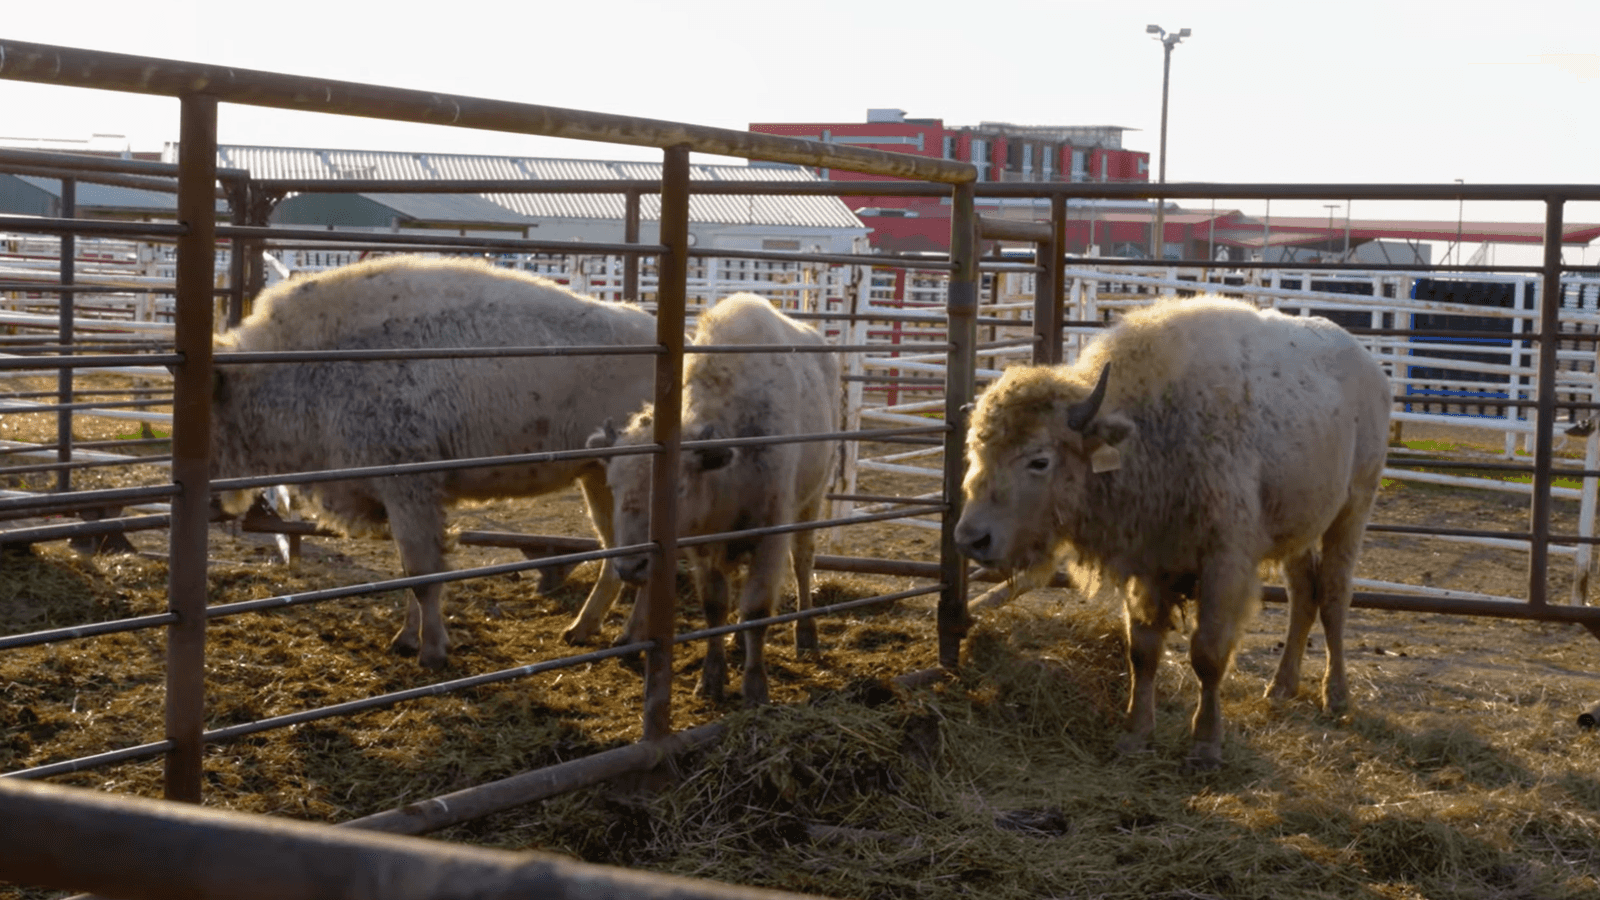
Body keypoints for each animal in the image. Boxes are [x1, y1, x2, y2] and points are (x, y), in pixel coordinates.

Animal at [209, 255, 658, 668]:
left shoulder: (410, 492)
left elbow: (423, 575)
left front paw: (433, 652)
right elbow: (411, 572)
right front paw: (407, 641)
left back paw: (628, 639)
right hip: (598, 478)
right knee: (617, 553)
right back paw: (582, 630)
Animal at [589, 293, 840, 705]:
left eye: (677, 487)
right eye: (613, 485)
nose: (629, 567)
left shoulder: (770, 534)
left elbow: (756, 608)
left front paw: (755, 687)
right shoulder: (703, 547)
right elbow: (716, 606)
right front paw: (711, 678)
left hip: (811, 502)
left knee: (803, 564)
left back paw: (806, 636)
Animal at [953, 296, 1391, 768]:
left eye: (1039, 460)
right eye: (977, 450)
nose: (971, 538)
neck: (1150, 429)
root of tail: (1369, 365)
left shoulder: (1222, 564)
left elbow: (1208, 653)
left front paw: (1206, 746)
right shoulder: (1147, 566)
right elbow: (1142, 651)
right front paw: (1135, 735)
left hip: (1352, 509)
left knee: (1333, 596)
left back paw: (1337, 696)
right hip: (1299, 530)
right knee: (1303, 596)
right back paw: (1280, 687)